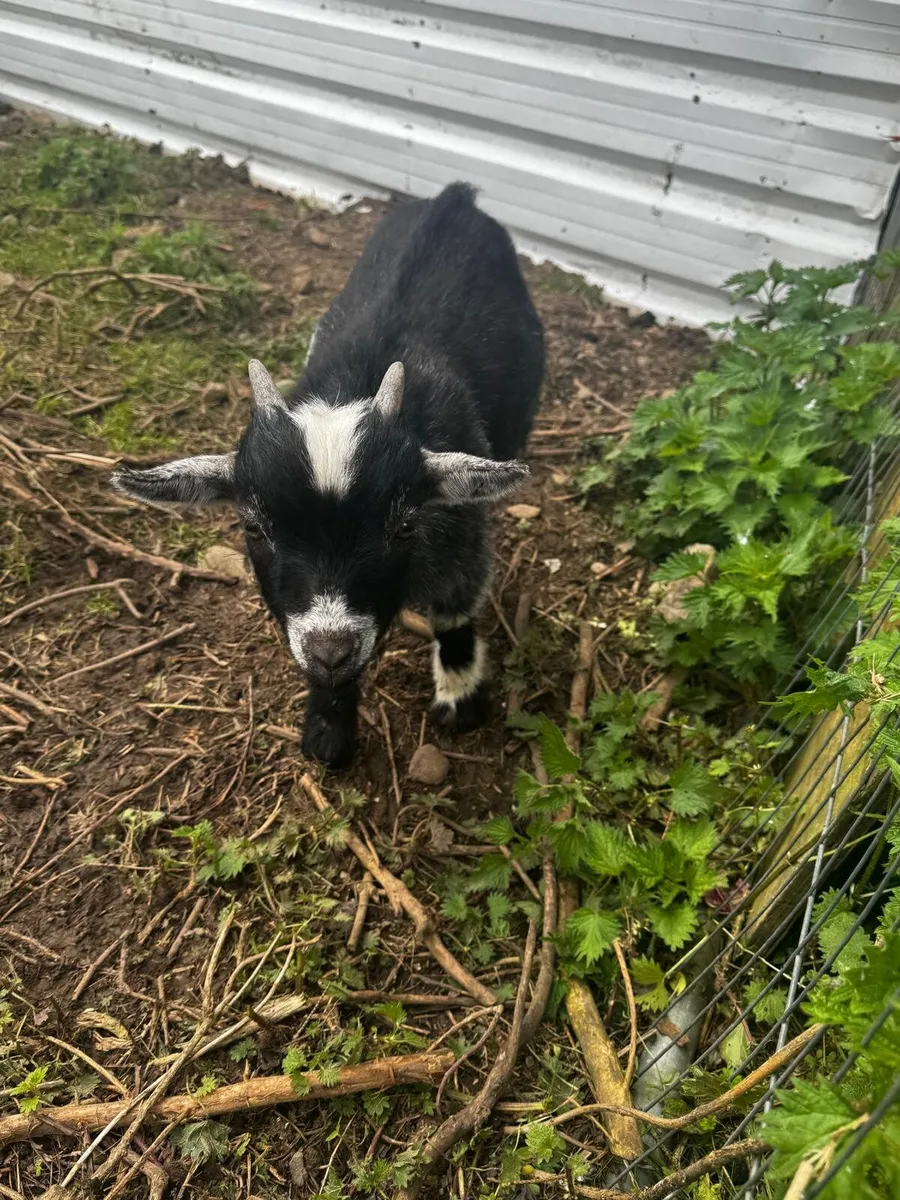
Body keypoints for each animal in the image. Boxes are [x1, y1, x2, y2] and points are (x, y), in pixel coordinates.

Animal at [113, 182, 545, 766]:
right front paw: (327, 727)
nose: (331, 649)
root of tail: (455, 199)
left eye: (404, 526)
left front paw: (459, 694)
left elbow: (455, 608)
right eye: (253, 526)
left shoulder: (459, 535)